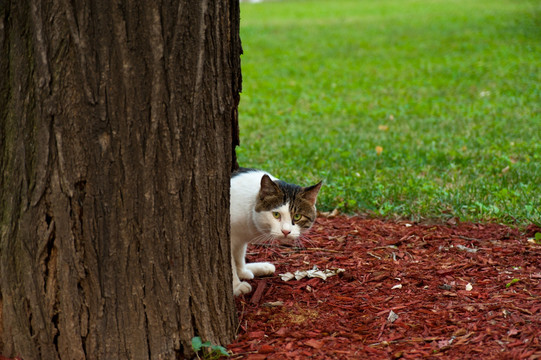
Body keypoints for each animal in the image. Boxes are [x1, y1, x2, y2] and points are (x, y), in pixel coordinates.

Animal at [229, 168, 320, 296]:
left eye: (297, 216)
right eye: (276, 214)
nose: (286, 231)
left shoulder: (240, 238)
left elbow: (239, 255)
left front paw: (242, 271)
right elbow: (230, 263)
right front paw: (236, 286)